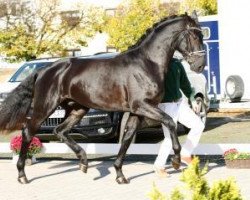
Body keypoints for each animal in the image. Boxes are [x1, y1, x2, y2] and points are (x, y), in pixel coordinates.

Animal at [0, 11, 205, 184]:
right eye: (195, 36)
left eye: (202, 35)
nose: (200, 66)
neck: (146, 63)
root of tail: (43, 70)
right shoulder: (142, 106)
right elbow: (170, 121)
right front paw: (177, 160)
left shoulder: (137, 112)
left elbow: (127, 139)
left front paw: (120, 175)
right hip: (45, 107)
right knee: (28, 132)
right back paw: (22, 175)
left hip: (77, 109)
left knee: (60, 130)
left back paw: (83, 162)